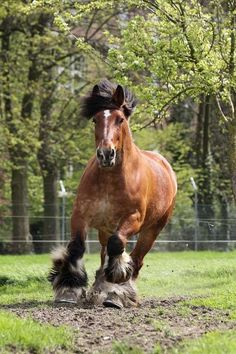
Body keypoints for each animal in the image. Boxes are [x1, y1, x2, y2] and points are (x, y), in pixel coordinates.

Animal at [48, 79, 177, 306]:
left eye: (120, 119)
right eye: (95, 119)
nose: (106, 154)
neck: (110, 180)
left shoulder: (133, 218)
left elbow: (117, 245)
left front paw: (115, 287)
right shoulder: (80, 215)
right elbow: (77, 247)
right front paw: (69, 289)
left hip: (152, 230)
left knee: (136, 258)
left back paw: (121, 292)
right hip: (104, 229)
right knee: (104, 254)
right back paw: (99, 285)